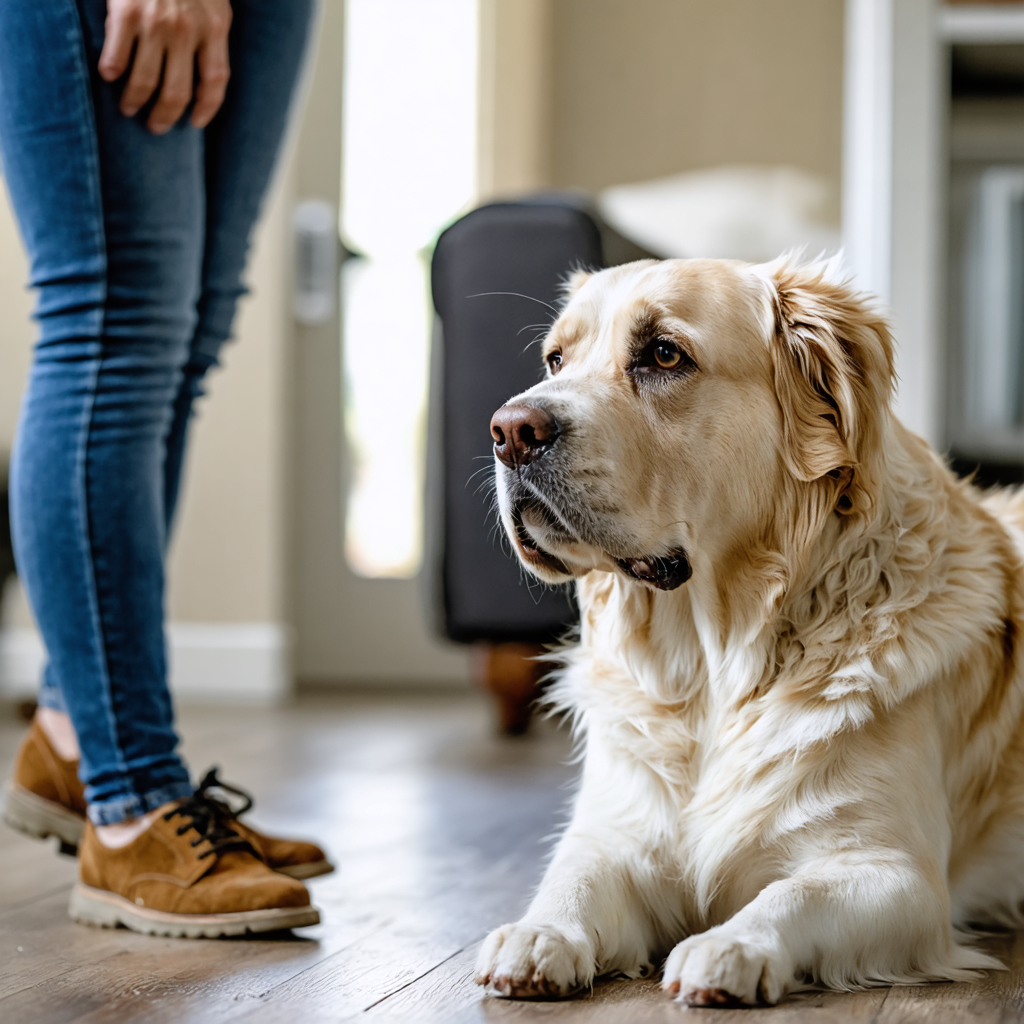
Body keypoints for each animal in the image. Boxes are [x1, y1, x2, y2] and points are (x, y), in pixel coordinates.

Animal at [473, 256, 1024, 1007]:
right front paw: (538, 933)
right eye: (556, 359)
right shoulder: (617, 829)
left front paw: (731, 945)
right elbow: (574, 875)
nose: (510, 429)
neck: (712, 667)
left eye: (664, 354)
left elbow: (792, 895)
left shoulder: (897, 874)